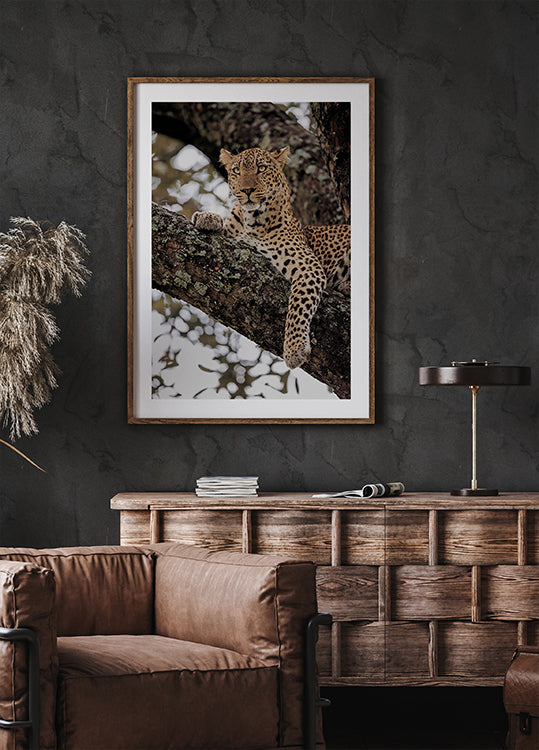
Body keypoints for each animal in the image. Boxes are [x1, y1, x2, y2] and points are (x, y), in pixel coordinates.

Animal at [192, 146, 350, 370]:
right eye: (237, 171)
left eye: (262, 168)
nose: (247, 190)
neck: (252, 221)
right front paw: (206, 217)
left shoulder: (309, 266)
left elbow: (297, 306)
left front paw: (294, 348)